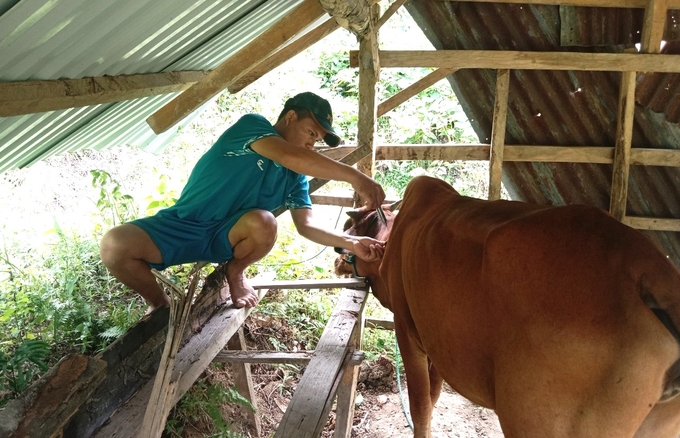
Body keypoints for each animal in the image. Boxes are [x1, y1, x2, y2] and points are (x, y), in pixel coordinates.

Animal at [336, 175, 680, 438]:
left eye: (355, 225)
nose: (339, 256)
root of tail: (646, 271)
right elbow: (434, 396)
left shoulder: (408, 329)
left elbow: (420, 406)